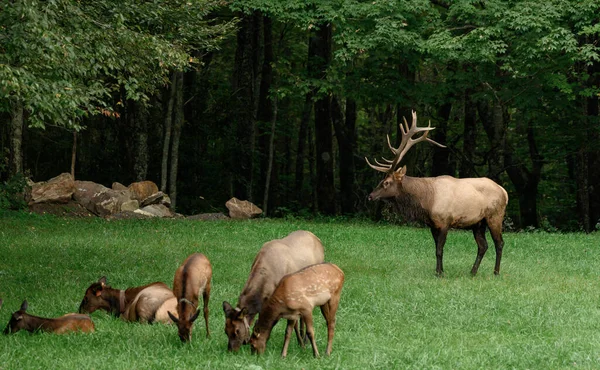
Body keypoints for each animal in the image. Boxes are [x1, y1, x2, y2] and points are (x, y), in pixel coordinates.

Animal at [364, 111, 508, 276]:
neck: (427, 201)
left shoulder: (445, 221)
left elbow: (439, 249)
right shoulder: (432, 225)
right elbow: (437, 250)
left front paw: (439, 273)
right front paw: (440, 270)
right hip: (478, 222)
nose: (370, 196)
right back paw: (473, 271)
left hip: (495, 216)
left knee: (499, 243)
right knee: (483, 245)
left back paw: (496, 272)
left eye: (387, 182)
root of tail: (504, 192)